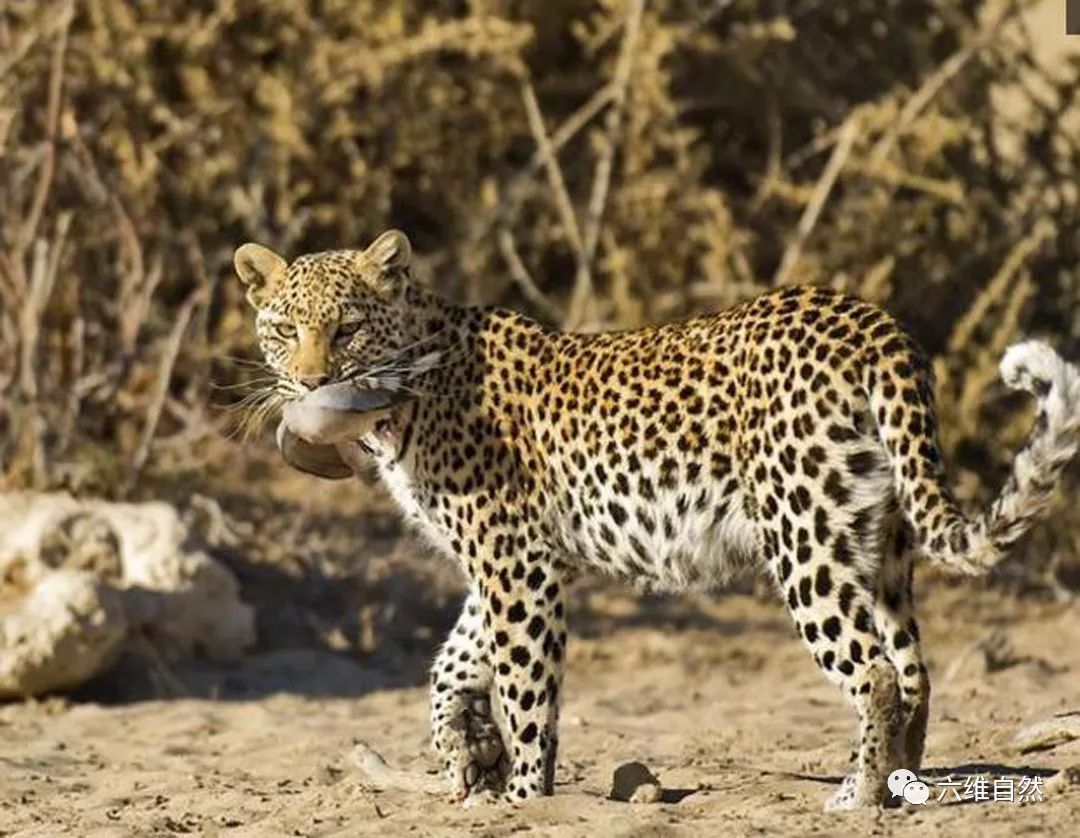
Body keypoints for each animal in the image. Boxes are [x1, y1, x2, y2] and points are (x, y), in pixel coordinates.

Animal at [234, 228, 1080, 812]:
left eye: (346, 327)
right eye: (283, 330)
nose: (309, 381)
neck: (406, 391)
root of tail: (867, 319)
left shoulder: (516, 563)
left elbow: (525, 687)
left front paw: (524, 795)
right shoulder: (524, 562)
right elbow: (452, 664)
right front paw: (469, 753)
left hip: (802, 533)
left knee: (870, 670)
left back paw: (856, 798)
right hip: (880, 539)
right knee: (913, 671)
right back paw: (902, 785)